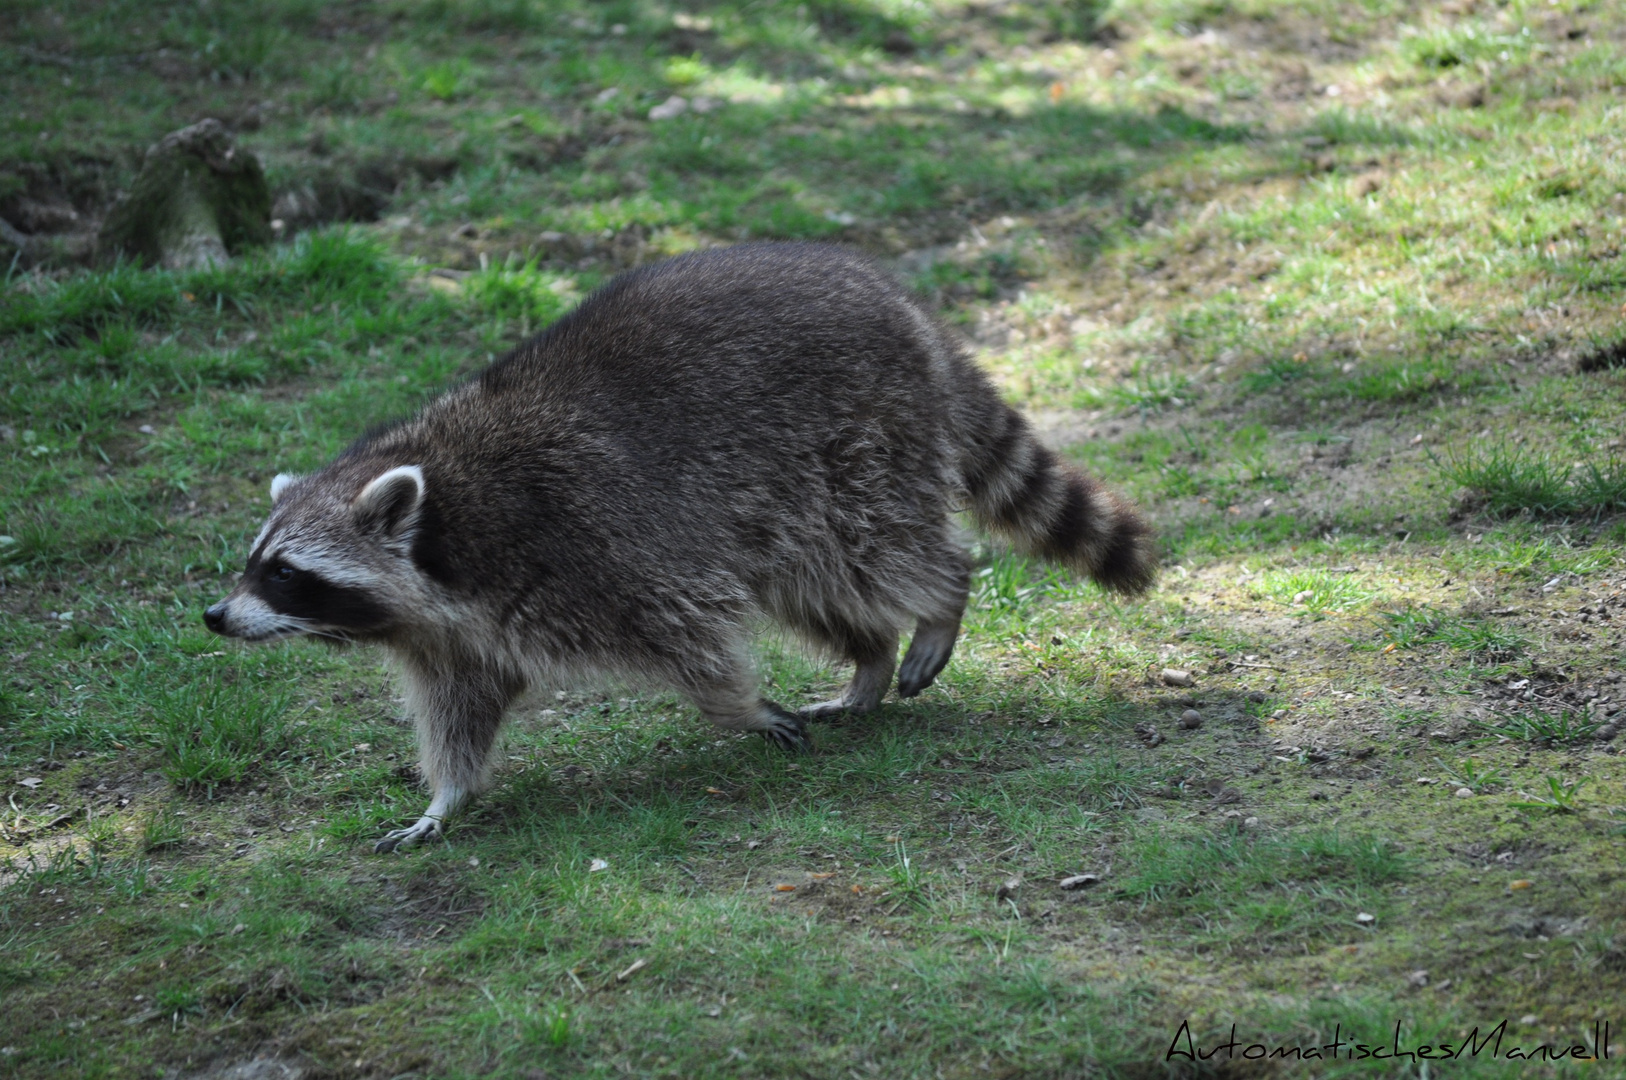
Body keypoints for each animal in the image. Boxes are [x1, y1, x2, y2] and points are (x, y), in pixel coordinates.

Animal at [206, 242, 1157, 852]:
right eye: (257, 561)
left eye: (286, 574)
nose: (215, 615)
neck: (444, 523)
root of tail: (895, 300)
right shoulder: (456, 633)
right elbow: (460, 711)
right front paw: (446, 800)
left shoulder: (592, 548)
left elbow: (690, 637)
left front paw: (737, 707)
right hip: (795, 490)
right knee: (812, 585)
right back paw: (869, 661)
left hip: (857, 438)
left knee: (877, 549)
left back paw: (936, 606)